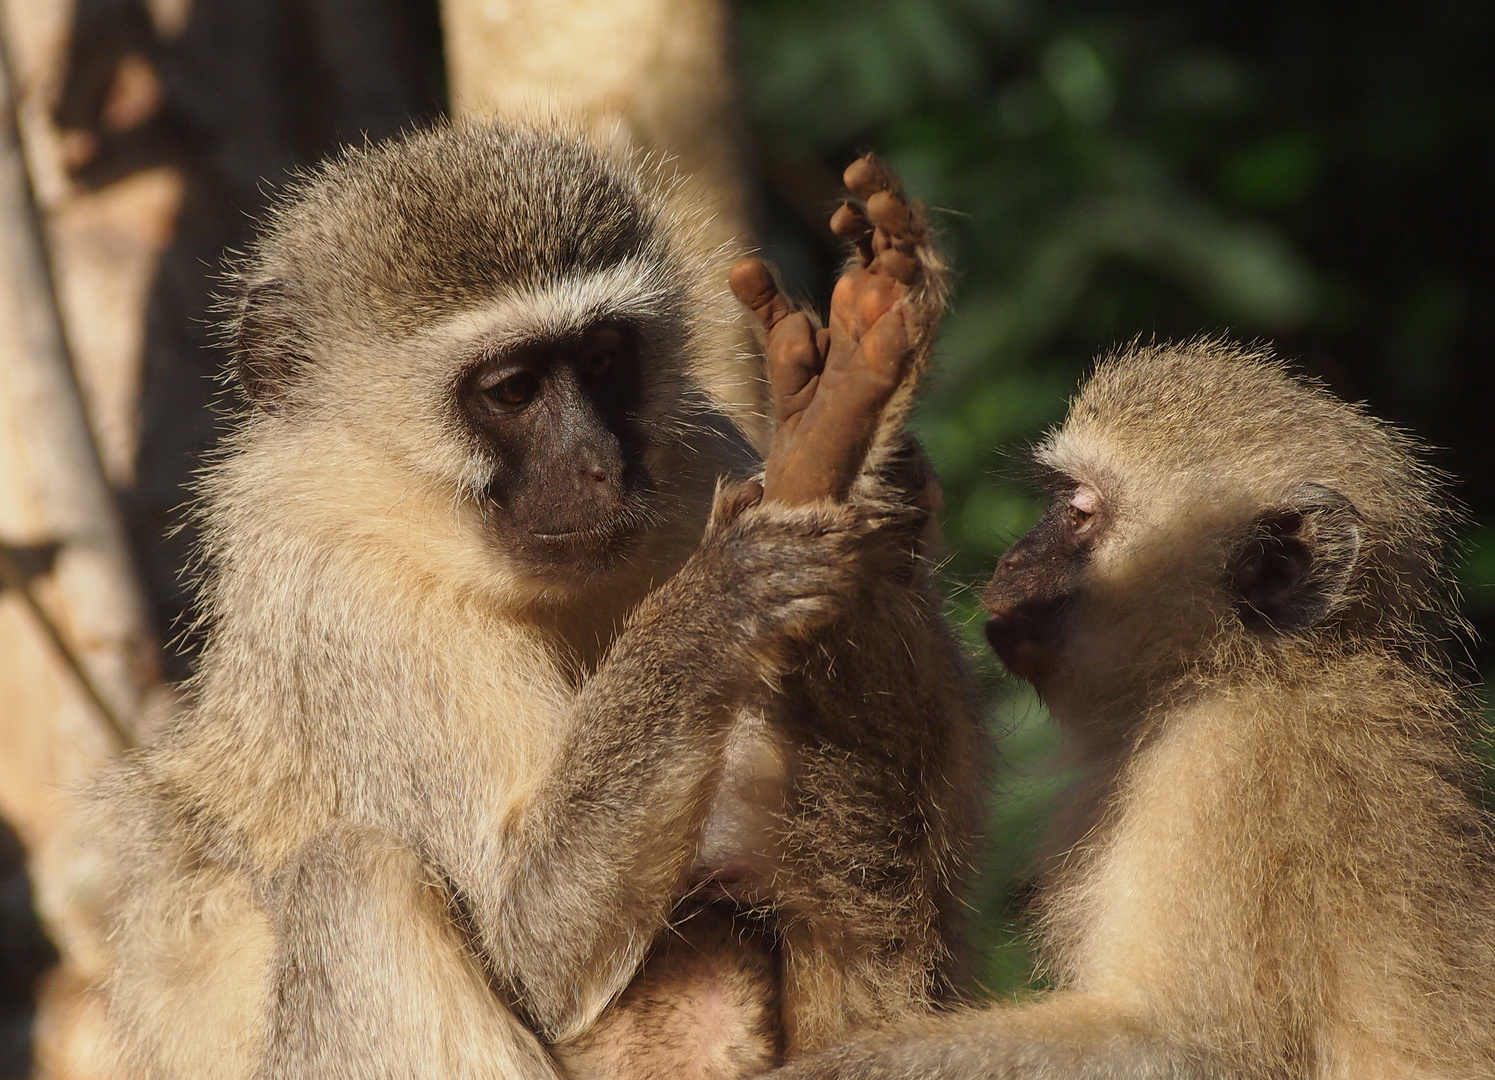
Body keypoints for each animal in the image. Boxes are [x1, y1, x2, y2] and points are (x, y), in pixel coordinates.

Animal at [90, 119, 980, 1077]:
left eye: (601, 361)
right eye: (513, 389)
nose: (599, 464)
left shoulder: (703, 457)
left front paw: (862, 440)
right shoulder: (350, 600)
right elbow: (529, 937)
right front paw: (716, 603)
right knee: (352, 879)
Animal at [771, 342, 1495, 1077]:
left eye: (1081, 513)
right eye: (1061, 501)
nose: (1012, 560)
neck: (1233, 671)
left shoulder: (1232, 776)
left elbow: (1187, 1045)